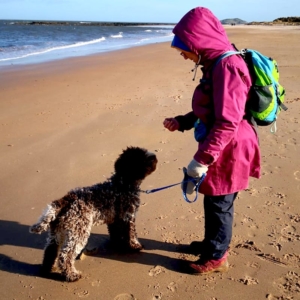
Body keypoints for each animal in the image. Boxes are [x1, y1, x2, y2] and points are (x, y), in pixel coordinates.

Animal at [29, 146, 158, 282]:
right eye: (140, 156)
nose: (154, 156)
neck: (123, 184)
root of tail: (65, 200)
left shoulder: (114, 220)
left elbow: (116, 234)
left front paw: (118, 245)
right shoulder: (128, 216)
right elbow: (131, 235)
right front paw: (135, 246)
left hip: (57, 233)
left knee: (50, 251)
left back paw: (48, 269)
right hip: (79, 232)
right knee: (65, 255)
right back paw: (72, 275)